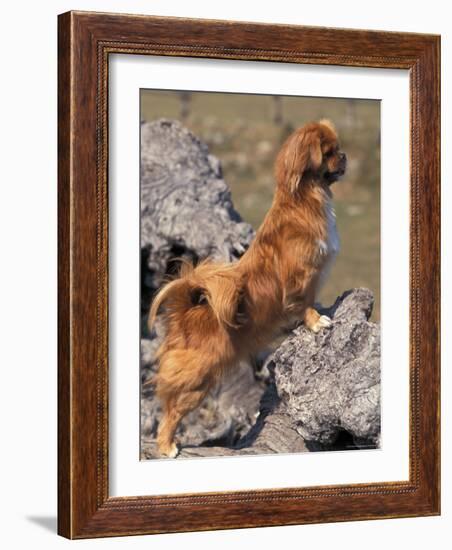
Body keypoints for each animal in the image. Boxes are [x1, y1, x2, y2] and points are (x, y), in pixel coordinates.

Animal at [147, 122, 346, 462]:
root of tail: (185, 315)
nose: (344, 156)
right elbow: (304, 301)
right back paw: (166, 446)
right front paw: (315, 321)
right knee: (171, 412)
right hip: (197, 381)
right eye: (329, 152)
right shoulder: (302, 277)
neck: (305, 200)